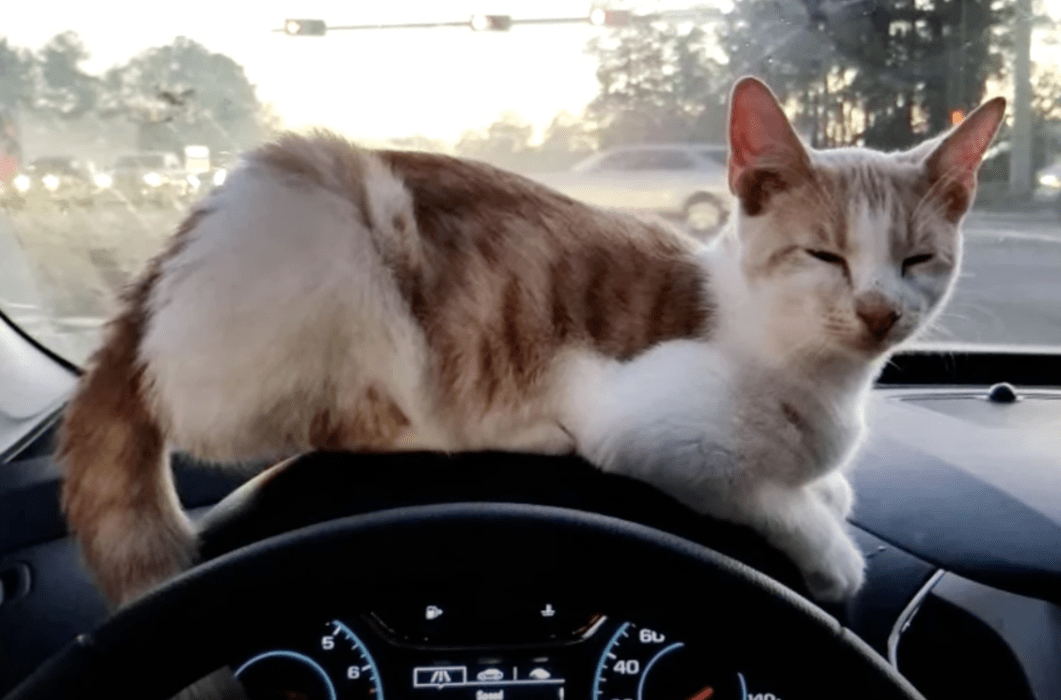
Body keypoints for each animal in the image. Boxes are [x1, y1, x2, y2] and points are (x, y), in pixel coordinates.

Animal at [55, 76, 1001, 606]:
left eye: (918, 259)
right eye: (824, 255)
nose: (879, 311)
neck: (816, 376)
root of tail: (162, 265)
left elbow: (818, 480)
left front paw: (831, 492)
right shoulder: (657, 433)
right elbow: (761, 492)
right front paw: (829, 549)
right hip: (346, 245)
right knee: (334, 421)